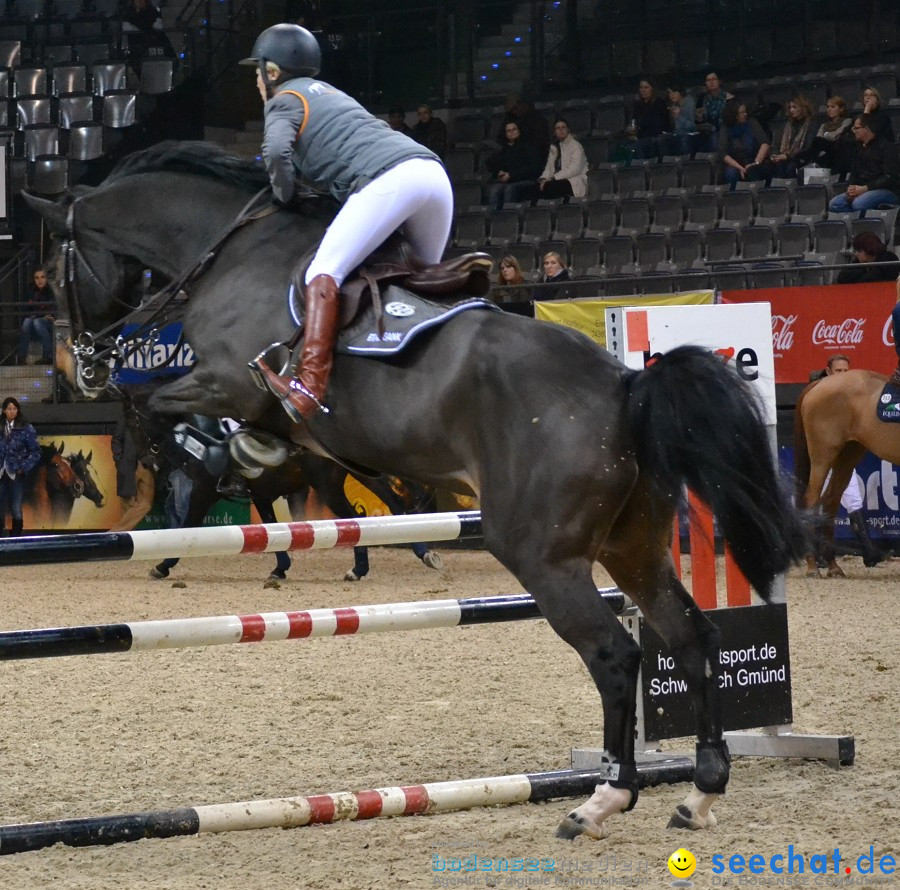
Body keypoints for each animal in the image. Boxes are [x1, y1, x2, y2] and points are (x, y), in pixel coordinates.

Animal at [24, 142, 804, 836]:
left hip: (543, 556)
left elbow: (152, 404)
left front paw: (211, 446)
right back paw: (700, 790)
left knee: (615, 656)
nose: (85, 367)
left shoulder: (225, 379)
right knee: (692, 637)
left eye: (53, 273)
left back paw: (602, 800)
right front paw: (240, 451)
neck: (233, 245)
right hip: (633, 546)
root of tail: (627, 384)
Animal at [796, 368, 892, 576]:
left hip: (849, 453)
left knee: (830, 500)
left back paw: (832, 564)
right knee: (813, 500)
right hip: (823, 456)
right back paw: (813, 564)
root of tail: (821, 383)